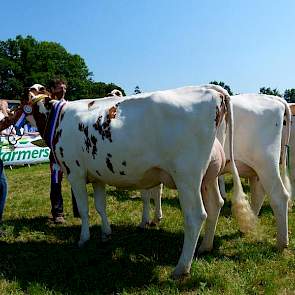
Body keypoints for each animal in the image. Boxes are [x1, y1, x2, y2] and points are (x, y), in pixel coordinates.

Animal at [0, 85, 256, 278]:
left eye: (22, 101)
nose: (12, 117)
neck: (59, 117)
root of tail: (210, 90)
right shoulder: (97, 176)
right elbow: (100, 207)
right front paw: (106, 234)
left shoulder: (75, 172)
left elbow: (84, 210)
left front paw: (83, 239)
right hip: (208, 176)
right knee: (216, 205)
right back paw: (205, 247)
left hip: (187, 176)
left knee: (196, 216)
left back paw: (181, 268)